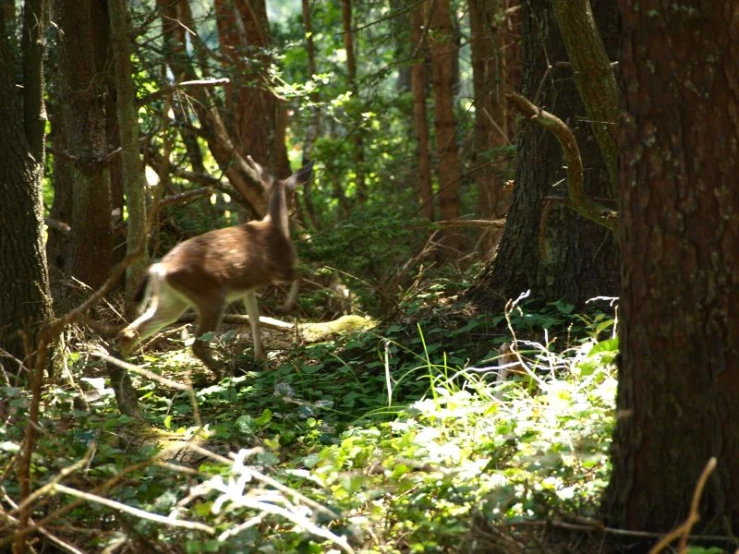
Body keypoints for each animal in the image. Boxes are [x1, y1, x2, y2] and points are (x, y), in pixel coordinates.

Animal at [118, 157, 312, 378]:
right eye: (294, 192)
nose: (295, 211)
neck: (276, 227)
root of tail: (160, 269)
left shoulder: (248, 288)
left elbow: (254, 319)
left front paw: (260, 358)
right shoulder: (279, 269)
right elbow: (301, 275)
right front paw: (286, 306)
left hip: (171, 300)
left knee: (130, 331)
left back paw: (126, 370)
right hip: (210, 296)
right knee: (197, 344)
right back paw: (223, 371)